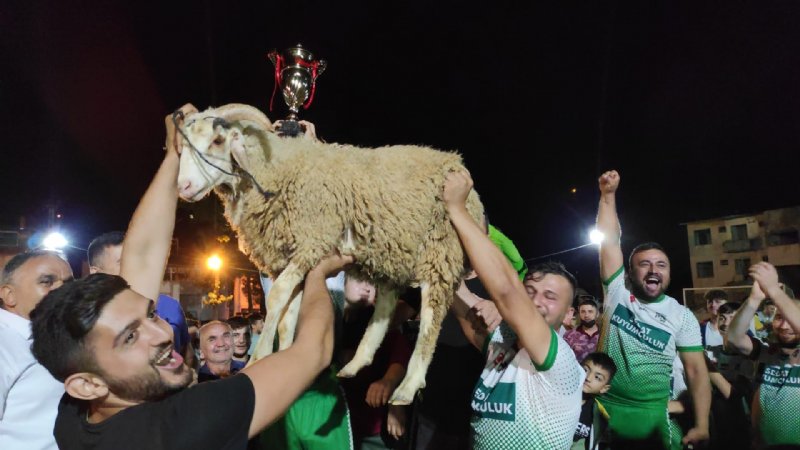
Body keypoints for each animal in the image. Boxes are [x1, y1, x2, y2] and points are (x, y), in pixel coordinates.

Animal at [174, 105, 482, 404]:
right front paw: (285, 359)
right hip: (390, 255)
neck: (276, 170)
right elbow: (287, 316)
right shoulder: (288, 257)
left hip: (440, 252)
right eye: (184, 146)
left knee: (431, 318)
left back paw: (408, 387)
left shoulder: (311, 243)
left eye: (217, 140)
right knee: (385, 305)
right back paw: (355, 364)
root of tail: (454, 161)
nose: (183, 187)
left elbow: (276, 298)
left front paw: (259, 359)